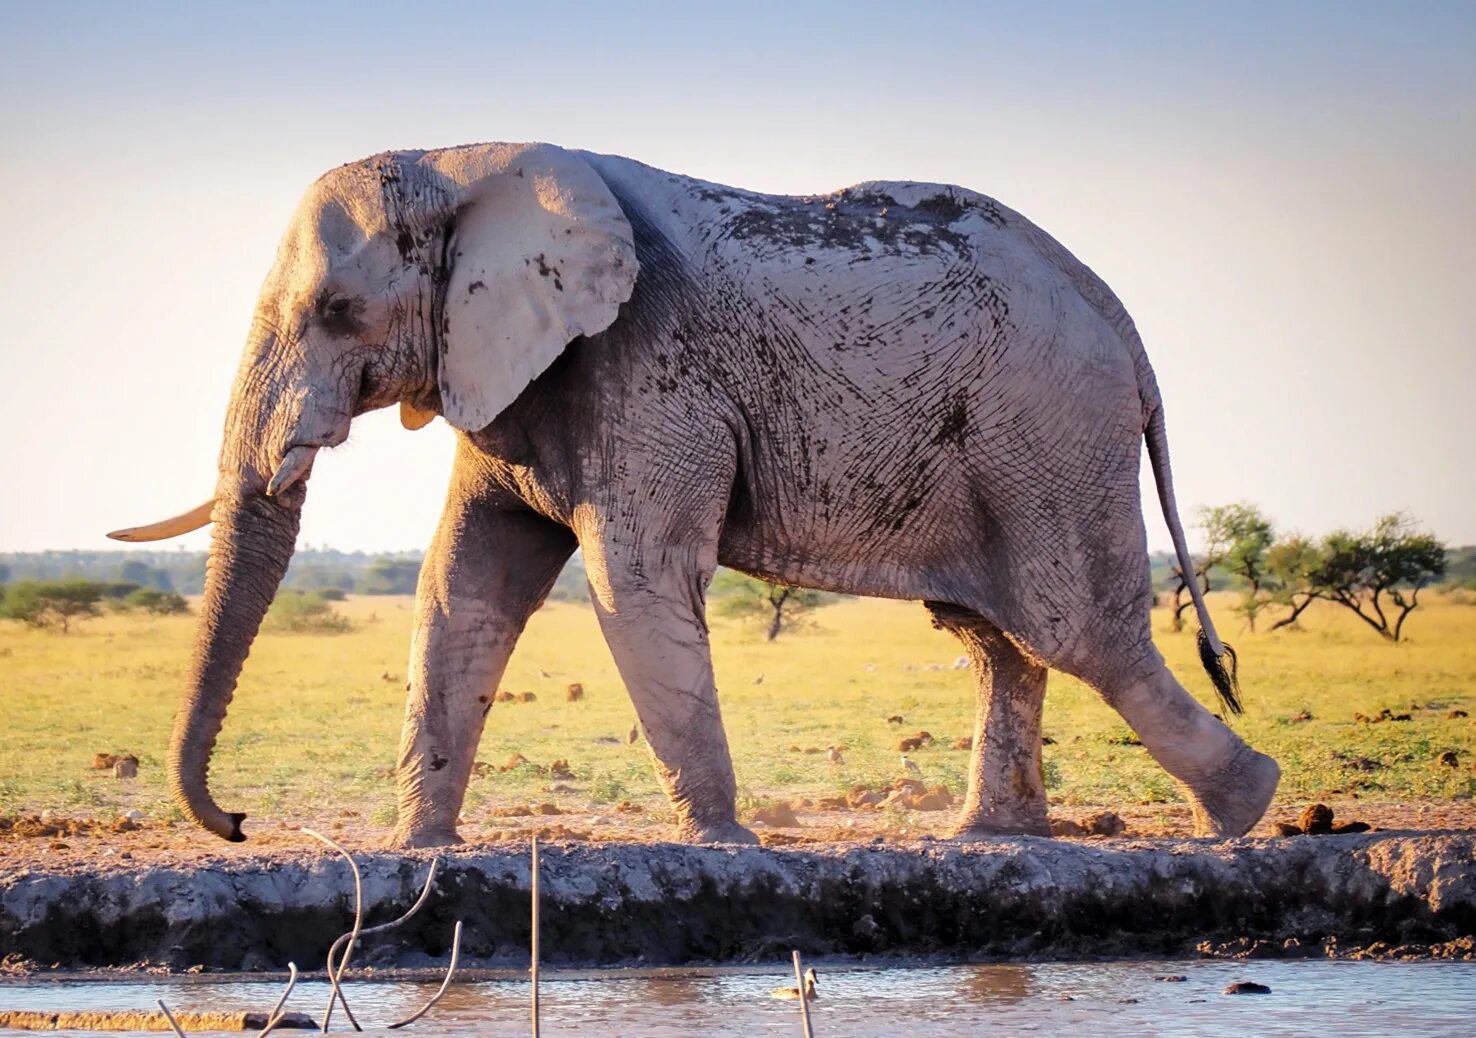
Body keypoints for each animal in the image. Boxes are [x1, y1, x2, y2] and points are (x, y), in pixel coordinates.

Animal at [107, 141, 1281, 850]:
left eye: (339, 312)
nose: (240, 824)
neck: (464, 160)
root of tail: (1119, 316)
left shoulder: (644, 362)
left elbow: (635, 580)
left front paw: (723, 843)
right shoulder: (517, 370)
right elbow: (463, 584)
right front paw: (419, 850)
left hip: (1046, 430)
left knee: (1077, 629)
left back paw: (1246, 809)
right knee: (997, 635)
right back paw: (992, 840)